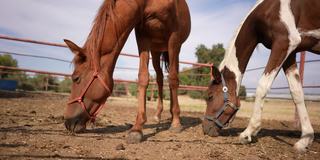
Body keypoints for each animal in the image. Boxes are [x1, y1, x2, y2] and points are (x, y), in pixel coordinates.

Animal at [63, 0, 191, 144]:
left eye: (76, 78)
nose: (68, 122)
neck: (149, 3)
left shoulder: (174, 38)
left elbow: (173, 79)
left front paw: (176, 122)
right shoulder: (143, 35)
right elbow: (143, 77)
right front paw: (137, 128)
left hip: (174, 48)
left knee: (171, 77)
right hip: (156, 51)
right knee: (159, 78)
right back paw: (158, 114)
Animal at [204, 0, 318, 152]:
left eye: (210, 97)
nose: (205, 129)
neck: (269, 9)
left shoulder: (284, 42)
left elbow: (263, 85)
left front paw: (248, 132)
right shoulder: (290, 53)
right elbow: (297, 93)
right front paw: (305, 139)